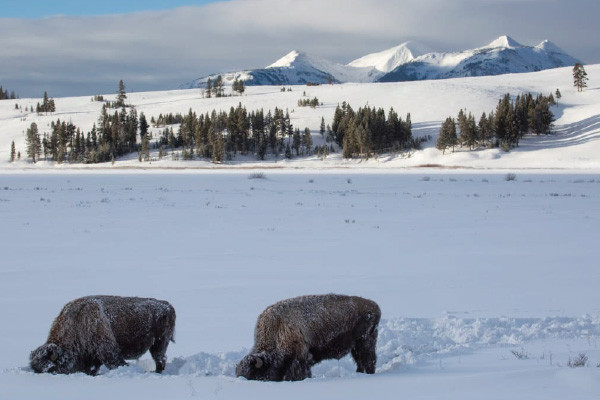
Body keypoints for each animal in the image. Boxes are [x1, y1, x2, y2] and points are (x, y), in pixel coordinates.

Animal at [29, 294, 175, 376]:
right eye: (35, 368)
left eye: (50, 367)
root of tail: (168, 305)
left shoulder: (107, 351)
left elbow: (114, 362)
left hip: (159, 343)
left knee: (160, 359)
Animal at [234, 294, 380, 382]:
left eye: (254, 375)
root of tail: (375, 307)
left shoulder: (299, 356)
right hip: (356, 348)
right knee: (361, 362)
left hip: (365, 343)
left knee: (369, 361)